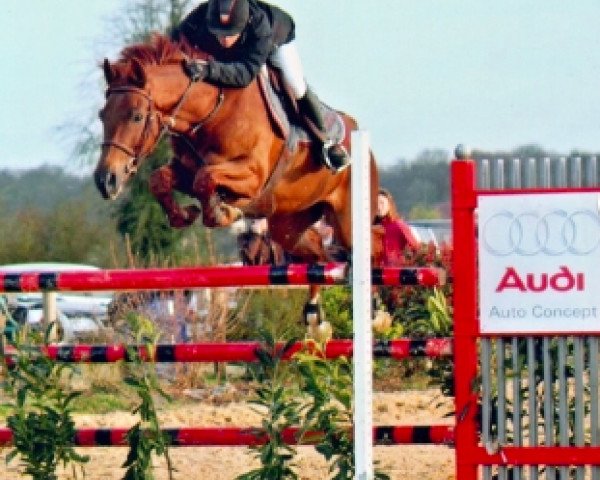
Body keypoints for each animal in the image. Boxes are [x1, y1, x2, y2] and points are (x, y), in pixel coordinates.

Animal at [95, 33, 380, 340]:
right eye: (102, 115)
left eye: (136, 116)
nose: (105, 181)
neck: (211, 113)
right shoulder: (185, 170)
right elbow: (161, 179)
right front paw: (184, 215)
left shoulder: (252, 175)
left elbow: (206, 178)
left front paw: (224, 212)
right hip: (289, 226)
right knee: (318, 254)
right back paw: (315, 316)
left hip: (348, 219)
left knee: (370, 250)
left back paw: (376, 312)